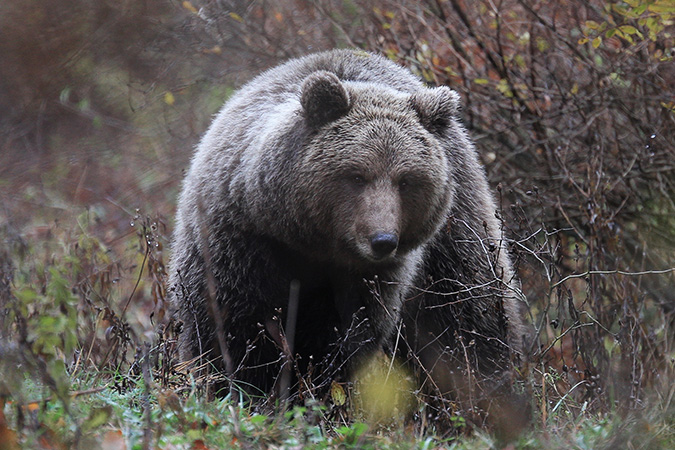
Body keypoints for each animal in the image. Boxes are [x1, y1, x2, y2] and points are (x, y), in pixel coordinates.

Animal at [169, 49, 528, 418]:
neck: (307, 240)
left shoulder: (370, 278)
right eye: (356, 175)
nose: (382, 240)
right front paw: (241, 388)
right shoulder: (240, 240)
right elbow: (230, 325)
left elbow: (344, 336)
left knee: (470, 317)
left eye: (406, 180)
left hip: (457, 234)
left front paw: (316, 390)